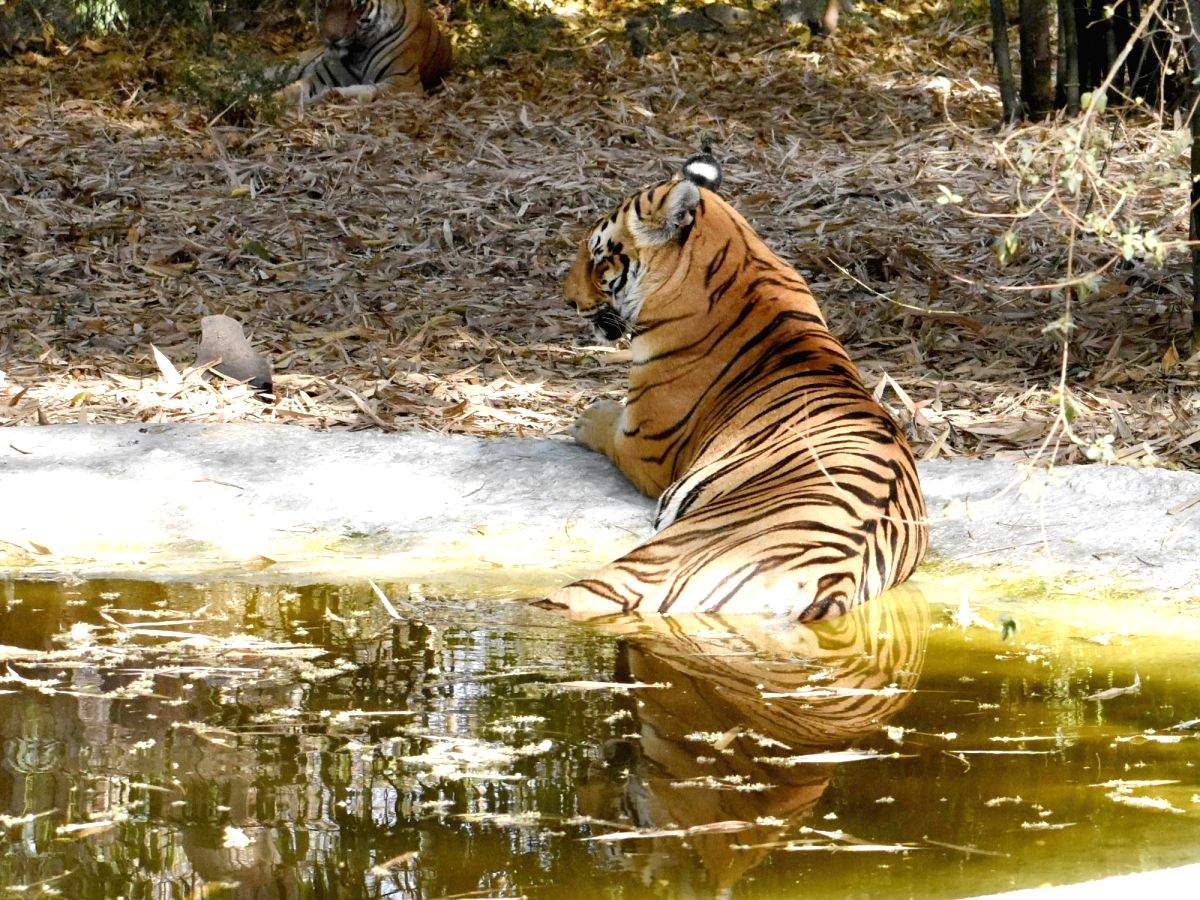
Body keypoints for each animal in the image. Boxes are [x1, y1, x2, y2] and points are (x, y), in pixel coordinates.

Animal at [275, 0, 451, 105]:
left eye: (358, 5)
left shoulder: (404, 82)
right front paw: (275, 100)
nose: (331, 38)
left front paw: (335, 94)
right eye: (325, 3)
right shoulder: (321, 77)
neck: (359, 50)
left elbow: (370, 88)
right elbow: (297, 88)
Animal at [539, 149, 928, 621]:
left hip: (634, 571)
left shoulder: (643, 446)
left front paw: (586, 416)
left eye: (598, 259)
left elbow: (606, 426)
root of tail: (834, 574)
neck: (743, 261)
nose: (568, 299)